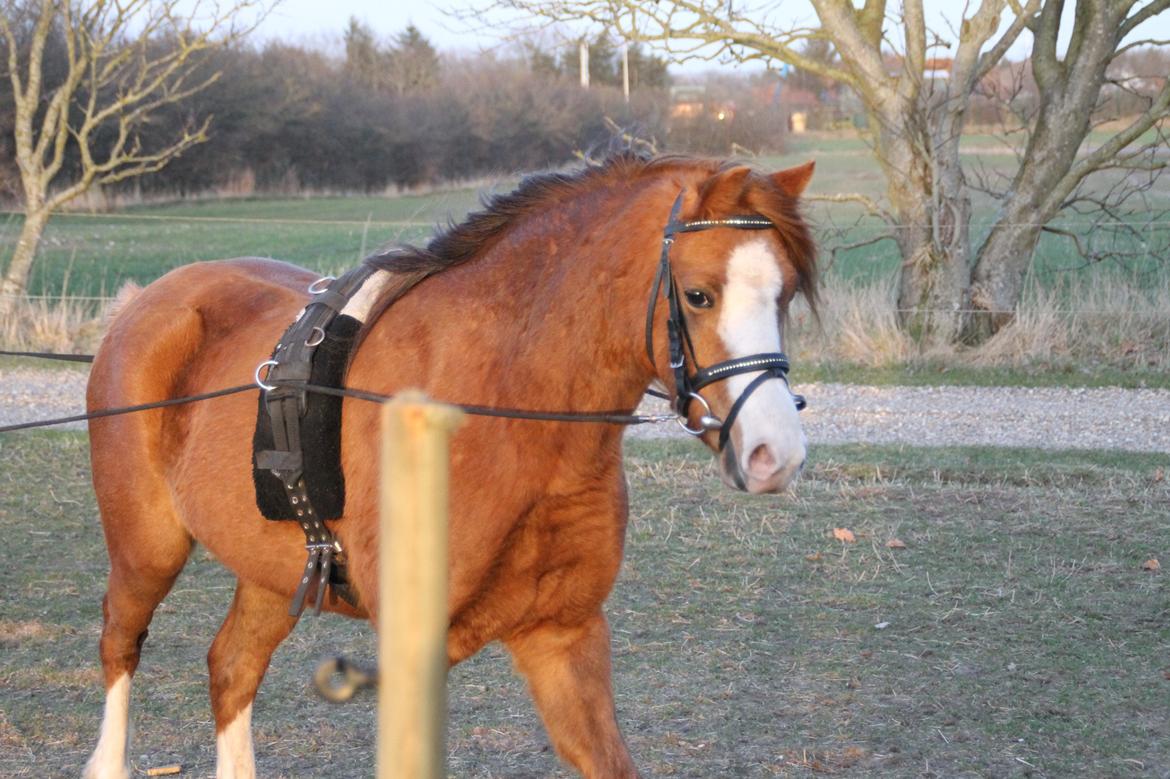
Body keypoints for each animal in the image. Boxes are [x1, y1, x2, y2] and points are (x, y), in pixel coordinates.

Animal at [82, 153, 817, 779]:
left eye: (782, 296)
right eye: (698, 295)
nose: (775, 454)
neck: (507, 405)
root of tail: (145, 302)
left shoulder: (563, 636)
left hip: (270, 574)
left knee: (231, 667)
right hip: (147, 550)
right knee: (121, 644)